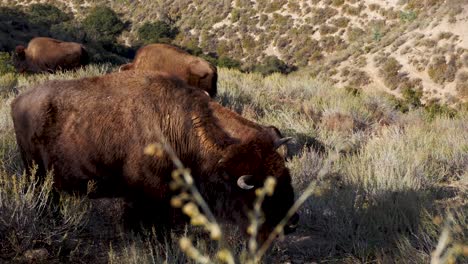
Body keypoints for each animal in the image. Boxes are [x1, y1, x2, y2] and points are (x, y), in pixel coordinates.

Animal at [12, 69, 298, 241]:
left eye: (286, 177)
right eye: (261, 192)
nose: (291, 224)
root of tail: (17, 101)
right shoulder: (144, 197)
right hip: (36, 173)